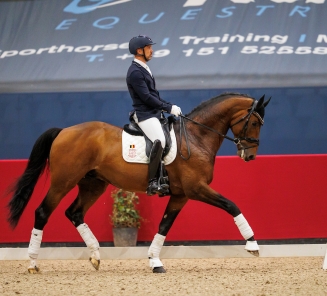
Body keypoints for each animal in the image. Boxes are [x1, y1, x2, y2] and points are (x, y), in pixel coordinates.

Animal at [6, 92, 272, 272]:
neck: (196, 137)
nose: (250, 156)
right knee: (43, 212)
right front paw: (252, 245)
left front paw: (155, 261)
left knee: (74, 212)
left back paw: (95, 256)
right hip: (63, 182)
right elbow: (231, 205)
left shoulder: (181, 195)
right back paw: (33, 263)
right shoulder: (196, 188)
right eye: (254, 123)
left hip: (93, 184)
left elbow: (164, 226)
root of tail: (63, 131)